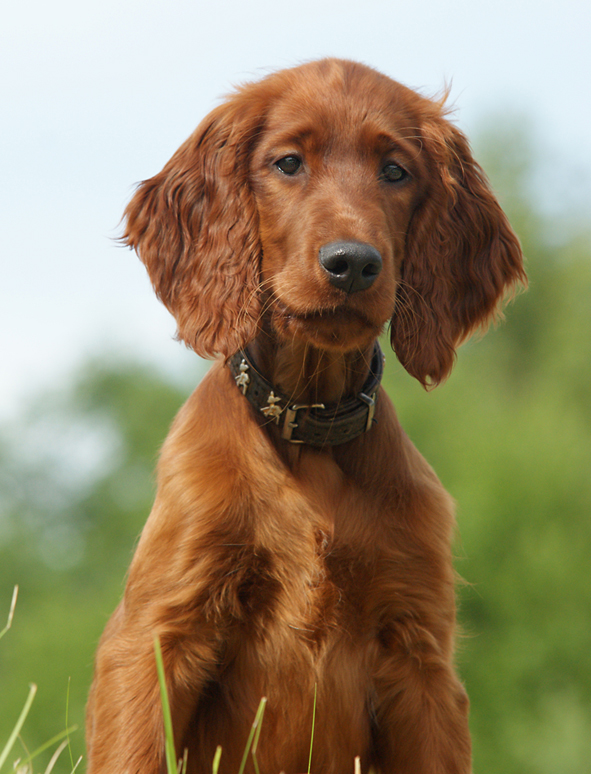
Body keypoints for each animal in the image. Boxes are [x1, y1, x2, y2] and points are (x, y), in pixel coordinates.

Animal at [85, 59, 524, 774]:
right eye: (288, 163)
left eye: (395, 171)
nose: (353, 263)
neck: (311, 425)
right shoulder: (158, 634)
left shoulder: (421, 659)